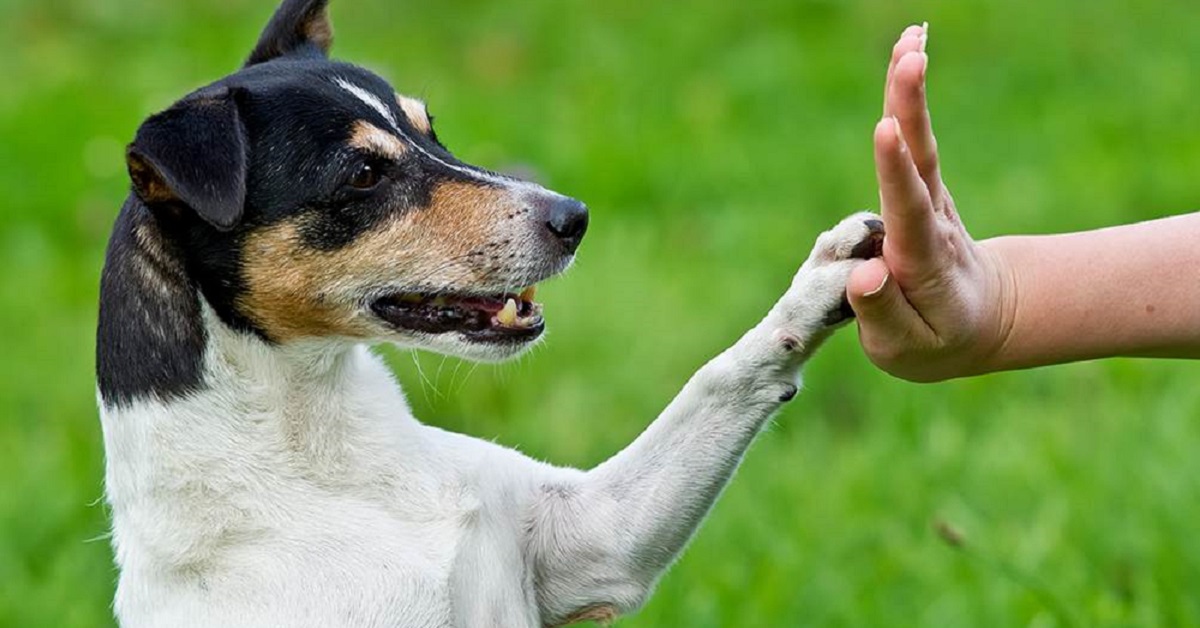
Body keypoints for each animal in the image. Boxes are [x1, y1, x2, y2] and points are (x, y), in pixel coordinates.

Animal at [91, 2, 883, 624]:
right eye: (364, 173)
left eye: (430, 130)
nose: (574, 218)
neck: (323, 454)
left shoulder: (594, 541)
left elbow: (720, 378)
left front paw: (825, 279)